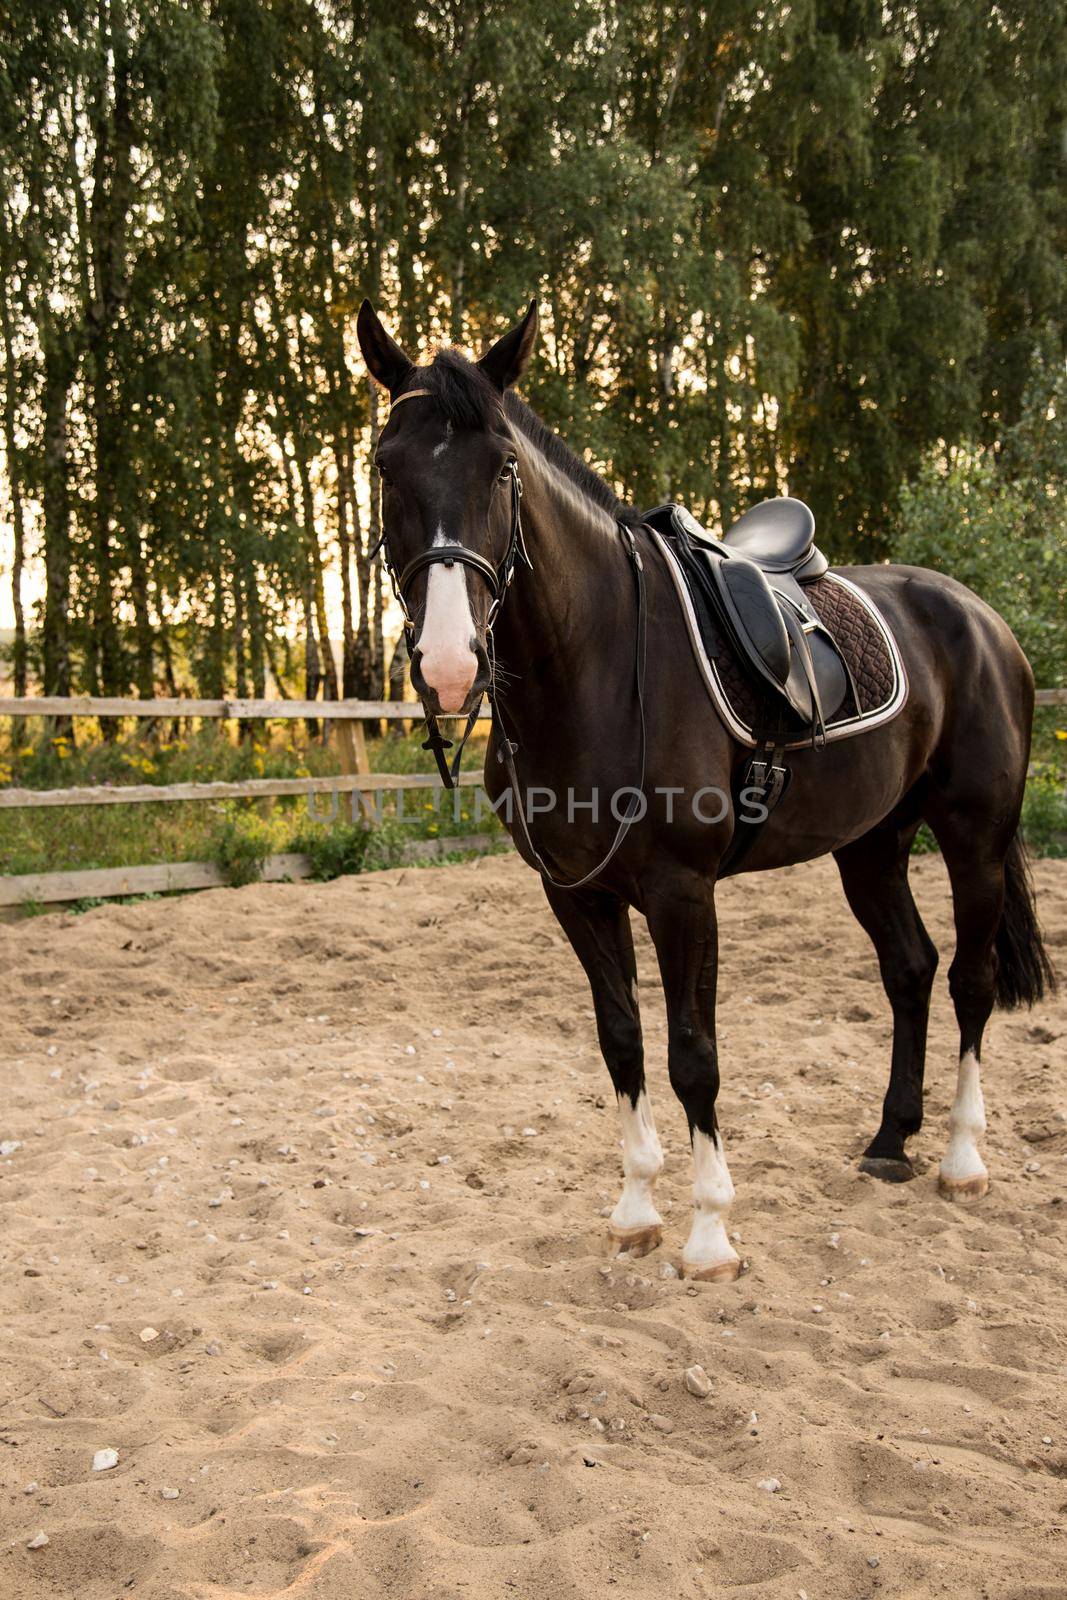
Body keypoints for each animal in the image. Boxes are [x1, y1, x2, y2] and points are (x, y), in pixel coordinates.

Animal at [355, 297, 1055, 1273]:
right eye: (387, 464)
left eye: (502, 467)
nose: (451, 663)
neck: (599, 665)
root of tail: (982, 619)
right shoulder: (575, 894)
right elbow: (620, 1039)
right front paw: (634, 1211)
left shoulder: (682, 892)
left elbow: (693, 1052)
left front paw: (711, 1233)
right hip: (870, 843)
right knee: (908, 969)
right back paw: (889, 1142)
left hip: (973, 835)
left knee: (970, 979)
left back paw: (959, 1158)